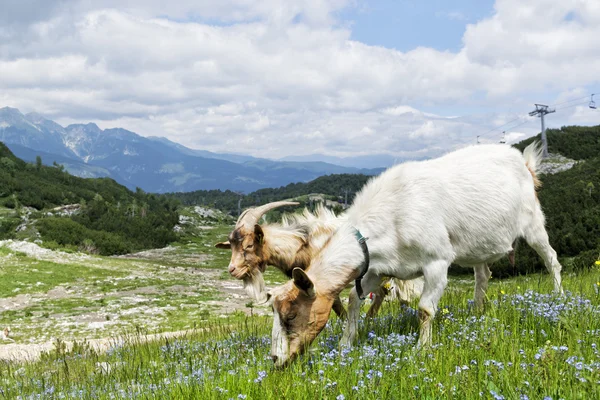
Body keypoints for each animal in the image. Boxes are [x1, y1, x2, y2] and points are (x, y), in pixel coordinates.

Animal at [268, 142, 564, 368]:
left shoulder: (436, 262)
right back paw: (478, 310)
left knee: (551, 259)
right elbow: (353, 299)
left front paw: (422, 349)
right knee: (483, 274)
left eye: (291, 316)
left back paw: (559, 298)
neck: (391, 211)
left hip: (533, 222)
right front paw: (345, 344)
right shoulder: (377, 268)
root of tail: (524, 162)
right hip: (478, 245)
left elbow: (424, 309)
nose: (275, 359)